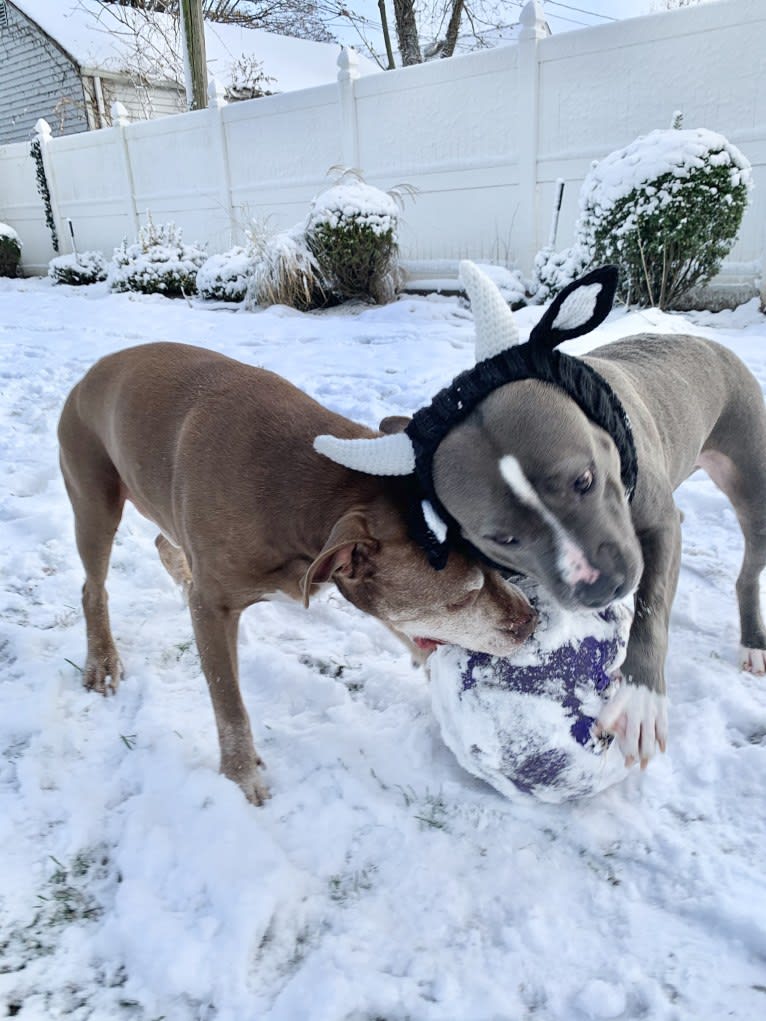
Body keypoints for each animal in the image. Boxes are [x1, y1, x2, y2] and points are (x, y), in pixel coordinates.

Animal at [56, 343, 535, 804]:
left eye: (494, 564)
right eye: (460, 598)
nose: (531, 621)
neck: (312, 491)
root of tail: (92, 372)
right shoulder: (214, 607)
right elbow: (228, 700)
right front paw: (241, 776)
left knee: (163, 544)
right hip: (93, 496)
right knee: (93, 586)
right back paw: (102, 660)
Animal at [316, 259, 766, 767]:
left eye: (584, 480)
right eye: (503, 538)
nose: (602, 588)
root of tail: (700, 339)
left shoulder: (657, 527)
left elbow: (651, 603)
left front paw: (641, 698)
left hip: (752, 480)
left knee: (747, 566)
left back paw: (752, 642)